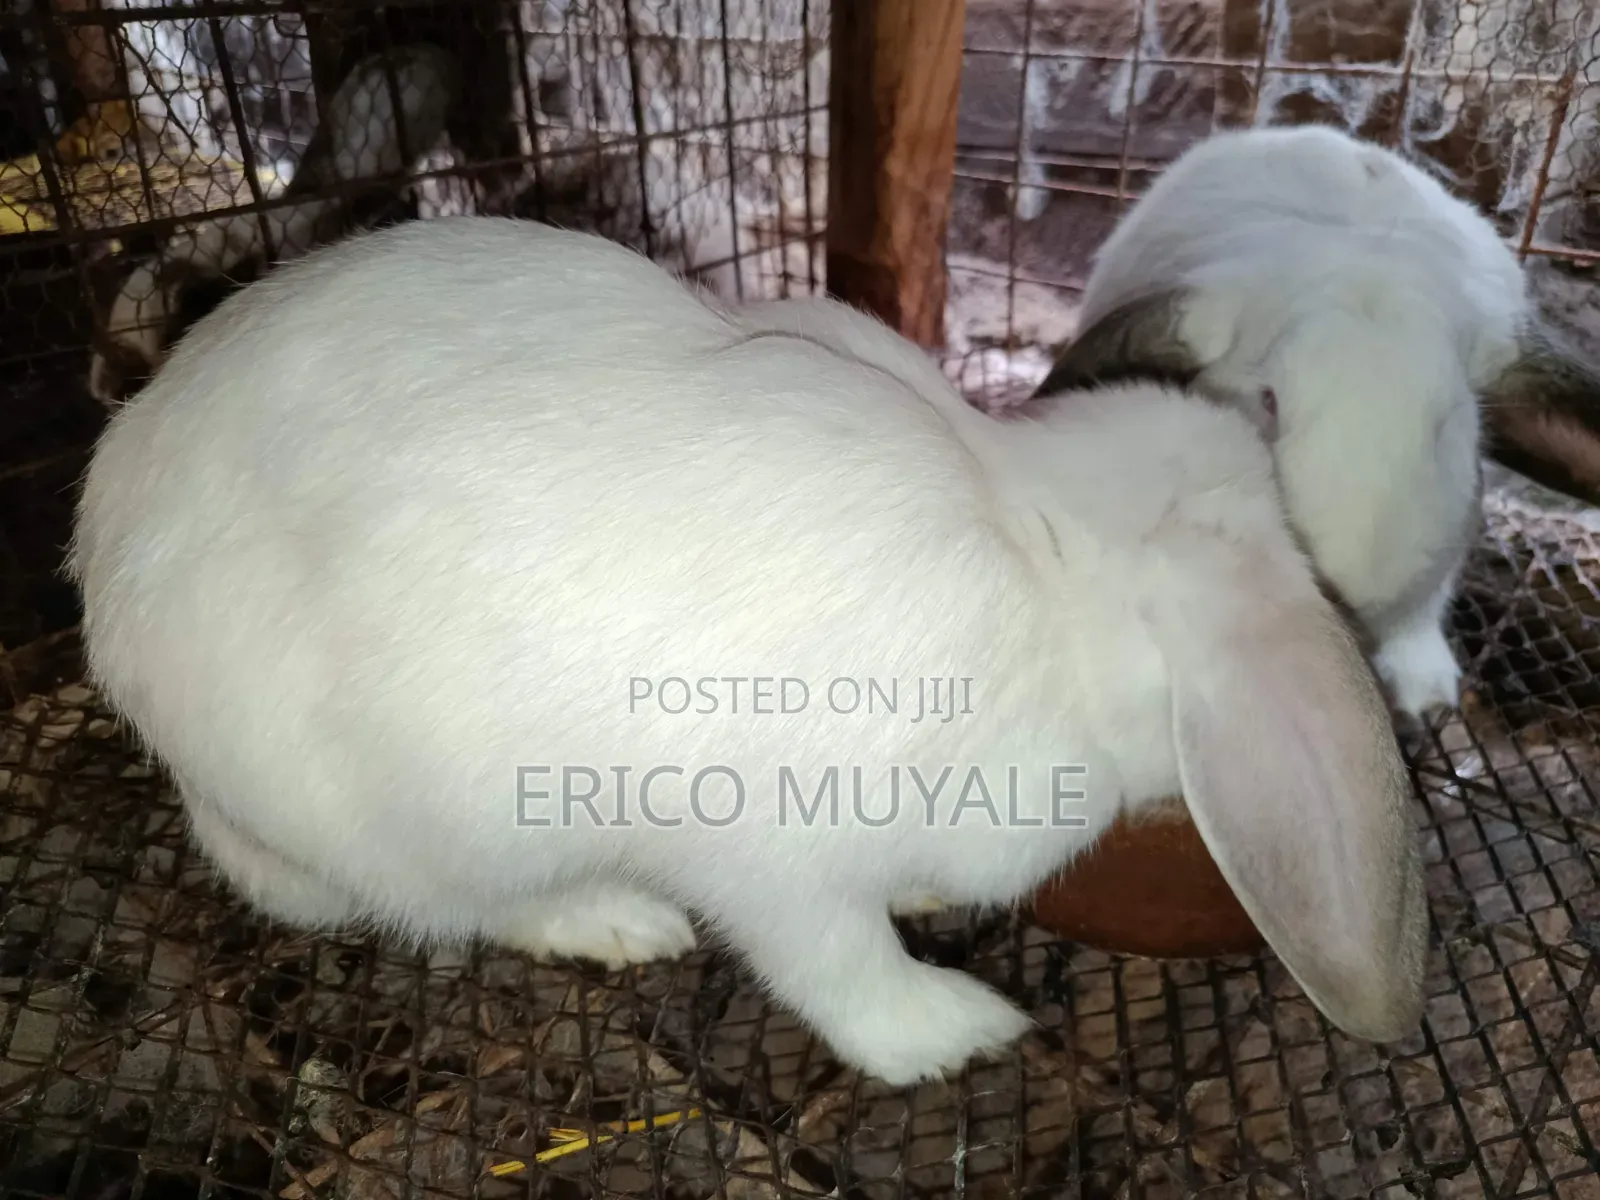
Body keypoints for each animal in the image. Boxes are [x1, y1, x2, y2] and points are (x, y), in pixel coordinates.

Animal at [71, 216, 1428, 1087]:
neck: (1053, 556)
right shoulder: (779, 860)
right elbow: (840, 974)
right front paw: (960, 1032)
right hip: (420, 815)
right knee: (462, 907)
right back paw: (621, 925)